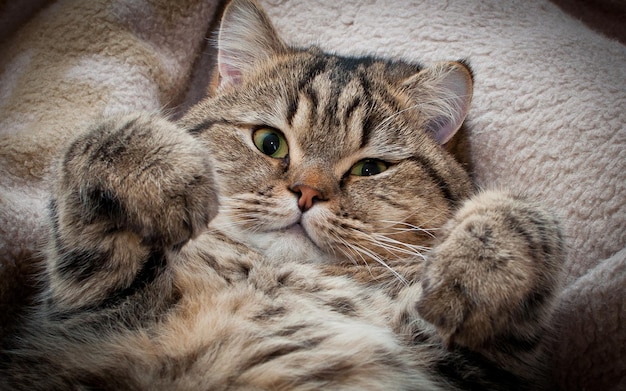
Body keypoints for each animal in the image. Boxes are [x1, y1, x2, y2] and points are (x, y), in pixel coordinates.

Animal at [0, 0, 564, 390]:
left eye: (371, 168)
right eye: (269, 142)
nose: (307, 193)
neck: (276, 275)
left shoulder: (475, 367)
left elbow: (528, 220)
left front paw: (480, 266)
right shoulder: (85, 314)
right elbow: (96, 140)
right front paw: (167, 171)